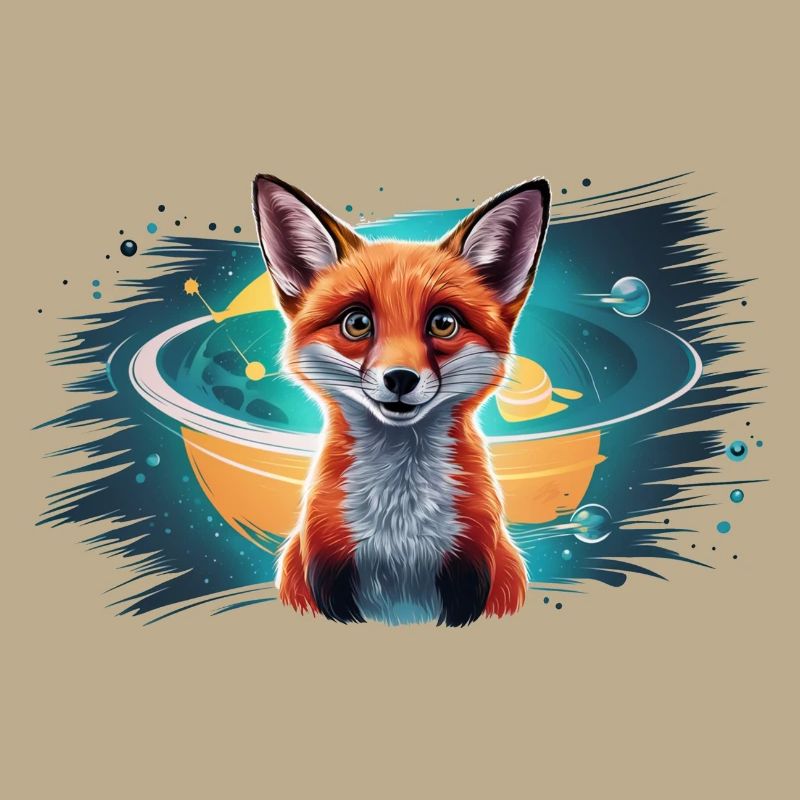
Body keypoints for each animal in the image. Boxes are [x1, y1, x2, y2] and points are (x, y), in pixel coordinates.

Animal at [252, 174, 551, 626]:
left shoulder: (471, 567)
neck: (399, 526)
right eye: (357, 323)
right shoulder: (327, 567)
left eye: (443, 323)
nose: (400, 379)